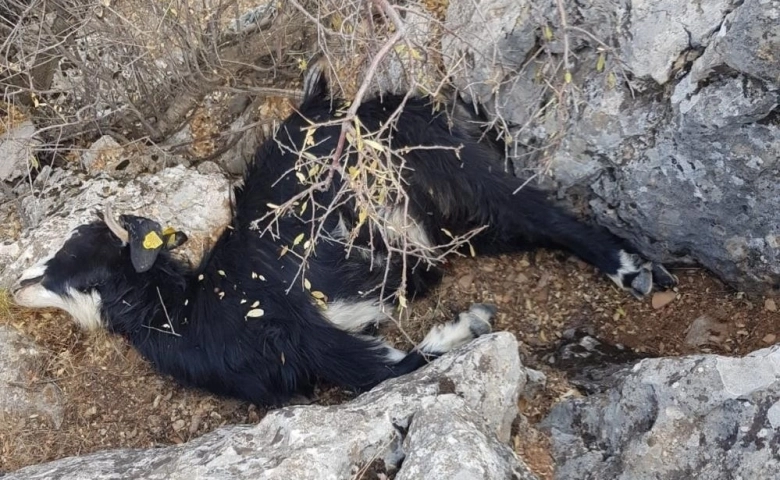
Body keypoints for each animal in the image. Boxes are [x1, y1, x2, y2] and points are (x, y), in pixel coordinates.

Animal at [10, 69, 676, 404]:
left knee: (538, 210)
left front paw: (467, 325)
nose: (17, 286)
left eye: (76, 271)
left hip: (441, 160)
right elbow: (388, 367)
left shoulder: (308, 332)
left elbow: (392, 369)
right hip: (442, 219)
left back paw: (633, 268)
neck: (189, 310)